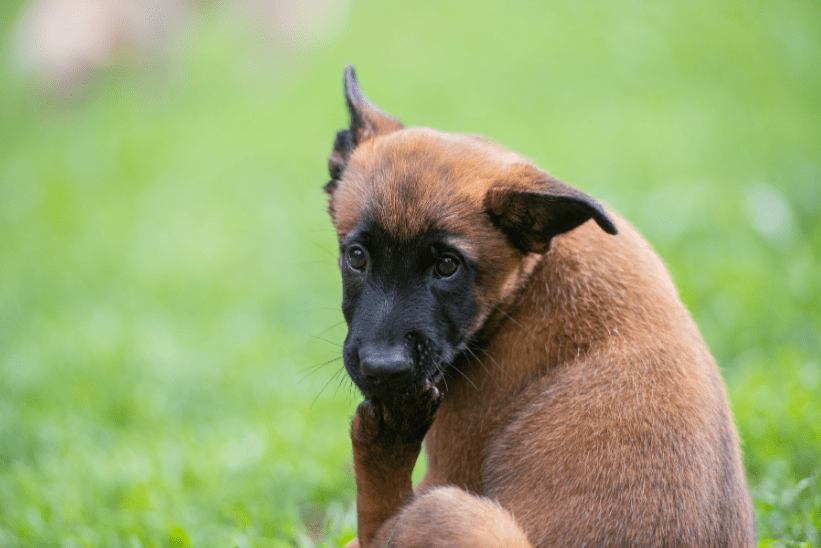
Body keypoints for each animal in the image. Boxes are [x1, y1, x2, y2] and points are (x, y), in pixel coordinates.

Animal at [322, 67, 756, 548]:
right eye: (356, 256)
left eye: (448, 266)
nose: (383, 370)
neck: (527, 285)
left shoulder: (450, 462)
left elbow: (368, 531)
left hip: (449, 509)